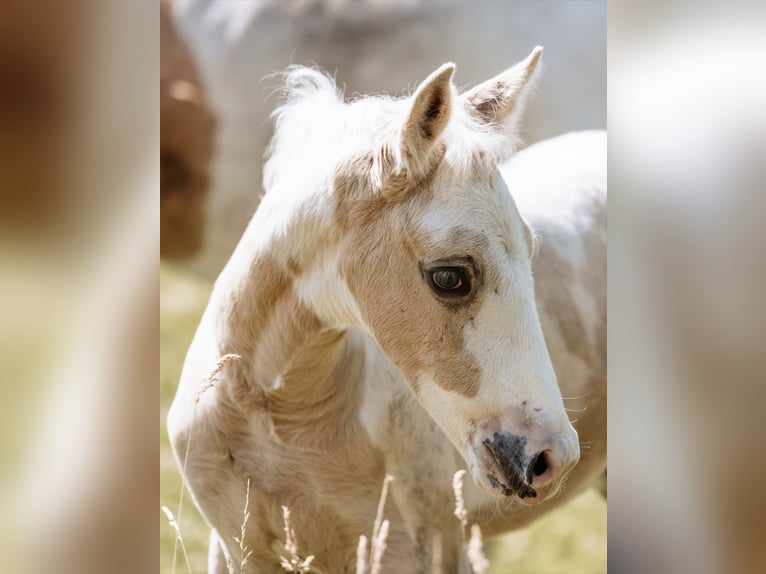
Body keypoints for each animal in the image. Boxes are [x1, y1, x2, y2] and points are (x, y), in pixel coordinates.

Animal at [170, 47, 608, 572]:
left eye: (531, 250)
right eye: (449, 277)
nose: (549, 458)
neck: (278, 417)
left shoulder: (421, 547)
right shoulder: (236, 548)